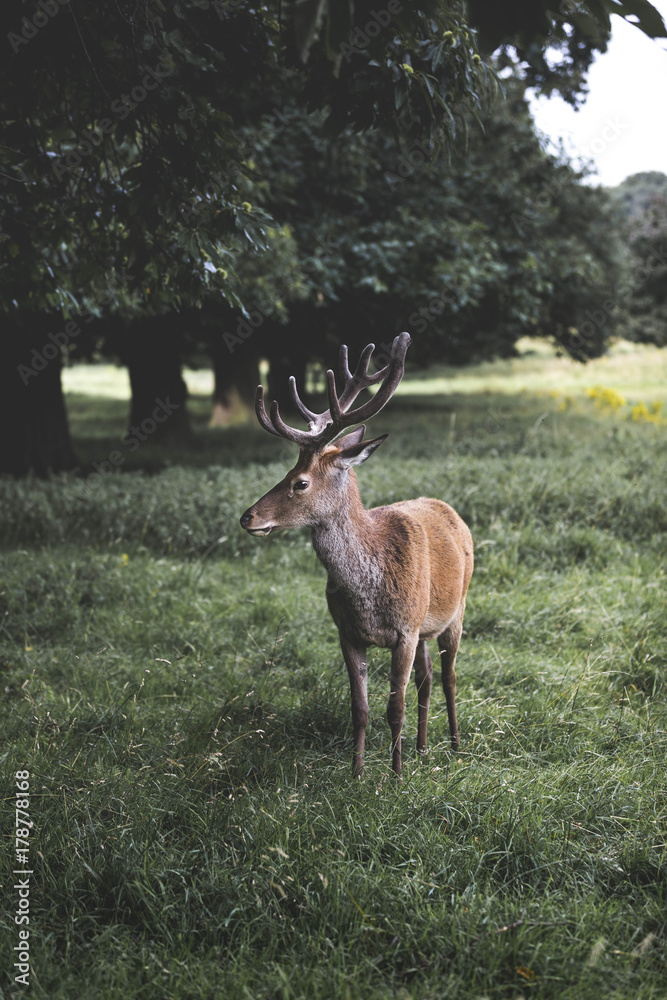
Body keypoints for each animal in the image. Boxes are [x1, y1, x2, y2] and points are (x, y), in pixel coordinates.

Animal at [240, 333, 473, 777]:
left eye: (300, 482)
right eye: (284, 472)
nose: (248, 517)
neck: (368, 592)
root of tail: (447, 508)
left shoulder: (404, 630)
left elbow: (394, 708)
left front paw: (395, 777)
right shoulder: (347, 633)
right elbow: (360, 708)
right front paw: (358, 772)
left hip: (457, 610)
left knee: (449, 676)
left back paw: (452, 745)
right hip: (425, 628)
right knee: (427, 679)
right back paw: (422, 749)